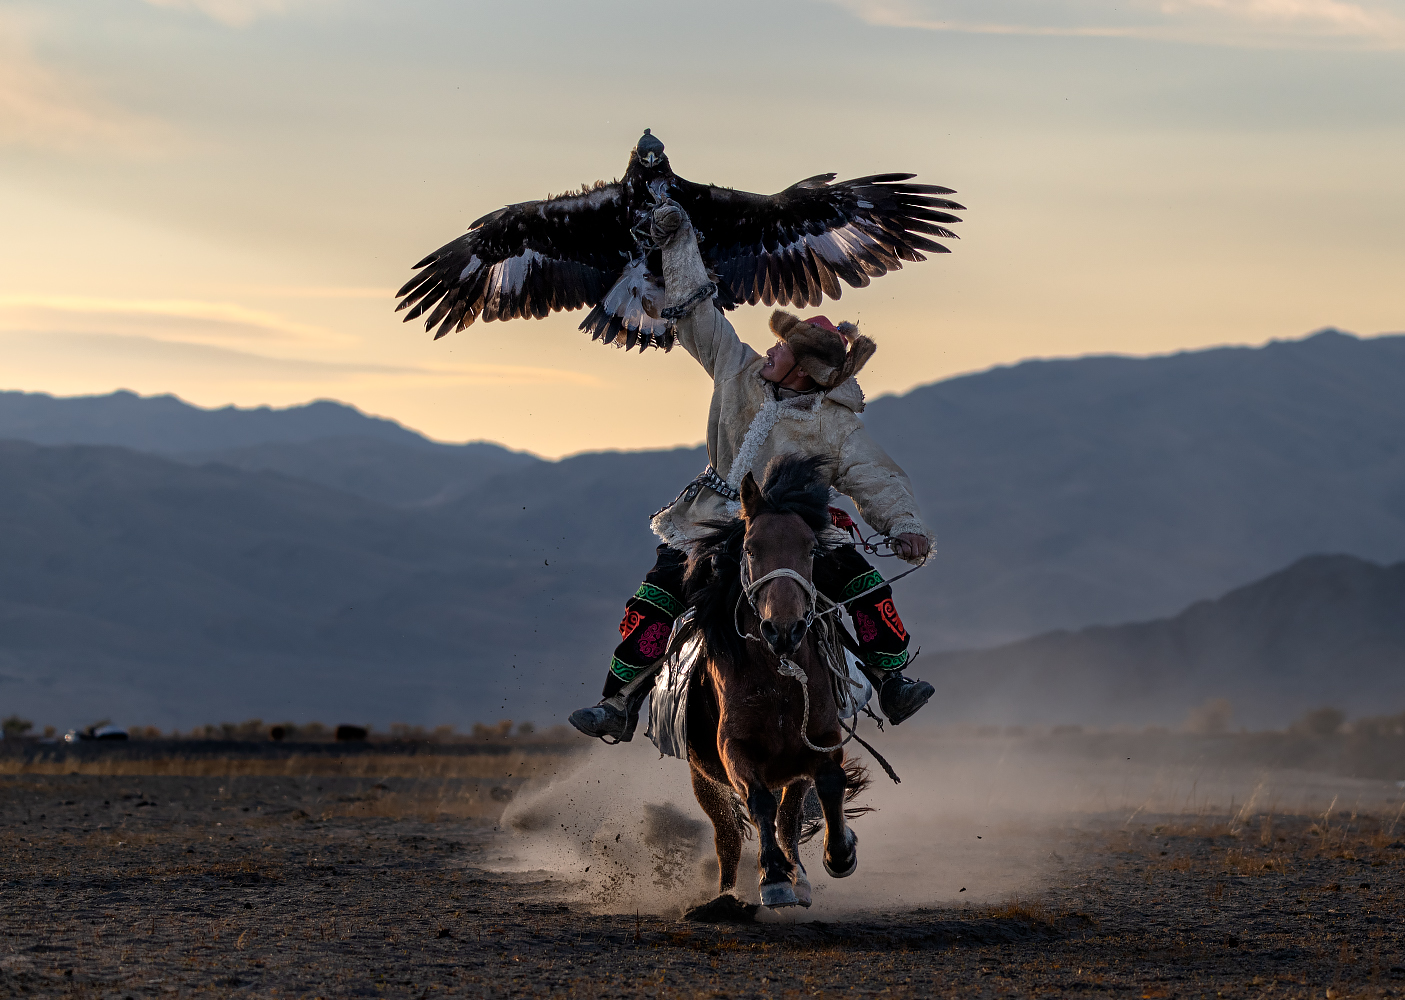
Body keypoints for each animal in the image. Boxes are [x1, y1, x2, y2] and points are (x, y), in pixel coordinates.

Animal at [677, 455, 865, 915]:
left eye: (811, 549)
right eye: (750, 548)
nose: (783, 630)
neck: (779, 682)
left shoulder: (820, 740)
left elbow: (829, 784)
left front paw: (840, 853)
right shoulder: (734, 748)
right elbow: (758, 800)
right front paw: (774, 878)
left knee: (788, 819)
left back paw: (801, 877)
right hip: (702, 778)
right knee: (727, 836)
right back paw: (727, 897)